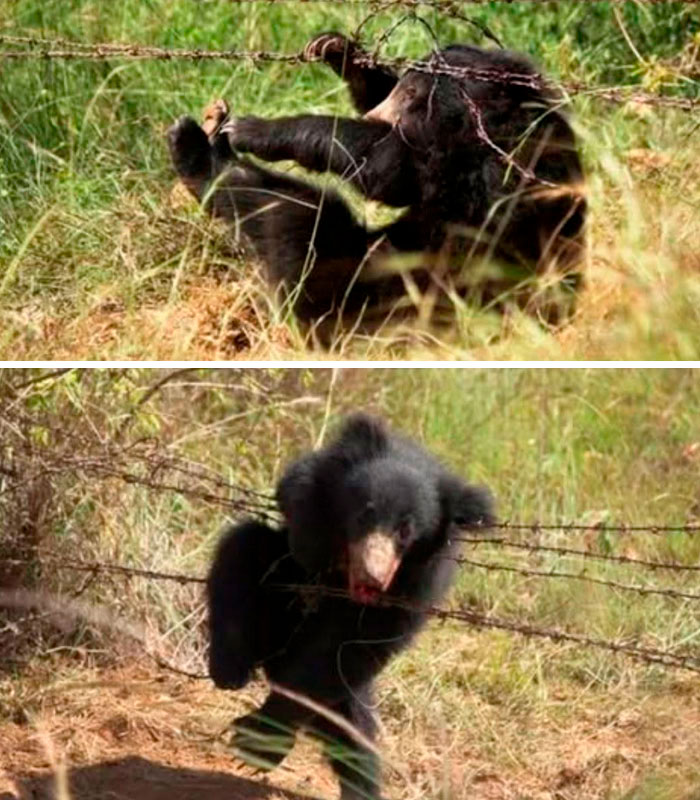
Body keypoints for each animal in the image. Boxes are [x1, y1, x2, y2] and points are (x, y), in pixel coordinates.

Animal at [167, 32, 586, 339]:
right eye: (402, 88)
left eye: (412, 95)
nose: (375, 114)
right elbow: (396, 180)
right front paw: (338, 50)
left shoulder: (484, 166)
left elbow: (387, 169)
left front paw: (256, 130)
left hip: (395, 293)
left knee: (301, 220)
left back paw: (196, 149)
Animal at [207, 413, 495, 800]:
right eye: (364, 515)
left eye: (406, 532)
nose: (373, 577)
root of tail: (274, 659)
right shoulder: (321, 478)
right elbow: (294, 489)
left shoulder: (415, 589)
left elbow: (344, 650)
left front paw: (255, 740)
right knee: (244, 547)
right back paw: (230, 668)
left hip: (344, 688)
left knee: (354, 736)